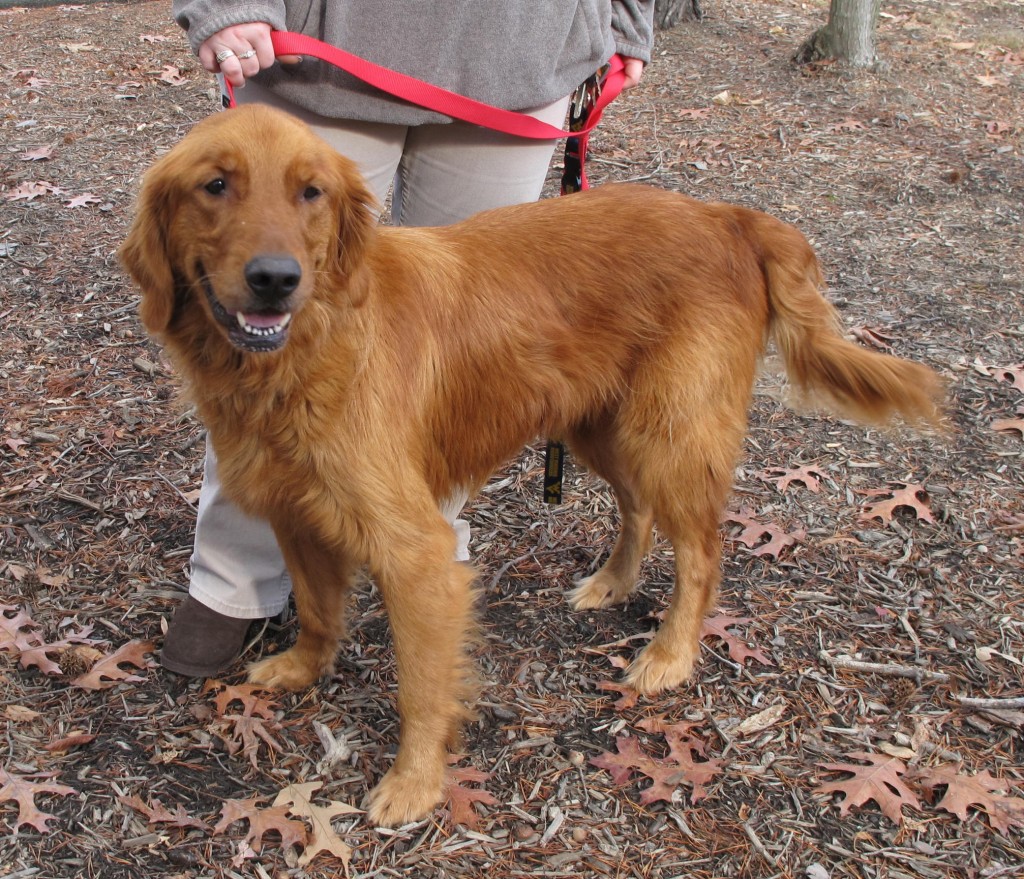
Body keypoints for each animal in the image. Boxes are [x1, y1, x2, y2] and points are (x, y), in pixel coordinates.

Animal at [119, 106, 942, 823]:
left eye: (309, 192)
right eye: (215, 185)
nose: (275, 278)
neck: (308, 346)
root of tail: (724, 214)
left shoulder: (416, 553)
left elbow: (422, 686)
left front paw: (414, 784)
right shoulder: (296, 511)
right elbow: (321, 609)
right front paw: (302, 667)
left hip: (670, 432)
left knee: (703, 552)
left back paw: (670, 655)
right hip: (600, 429)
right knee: (638, 509)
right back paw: (611, 583)